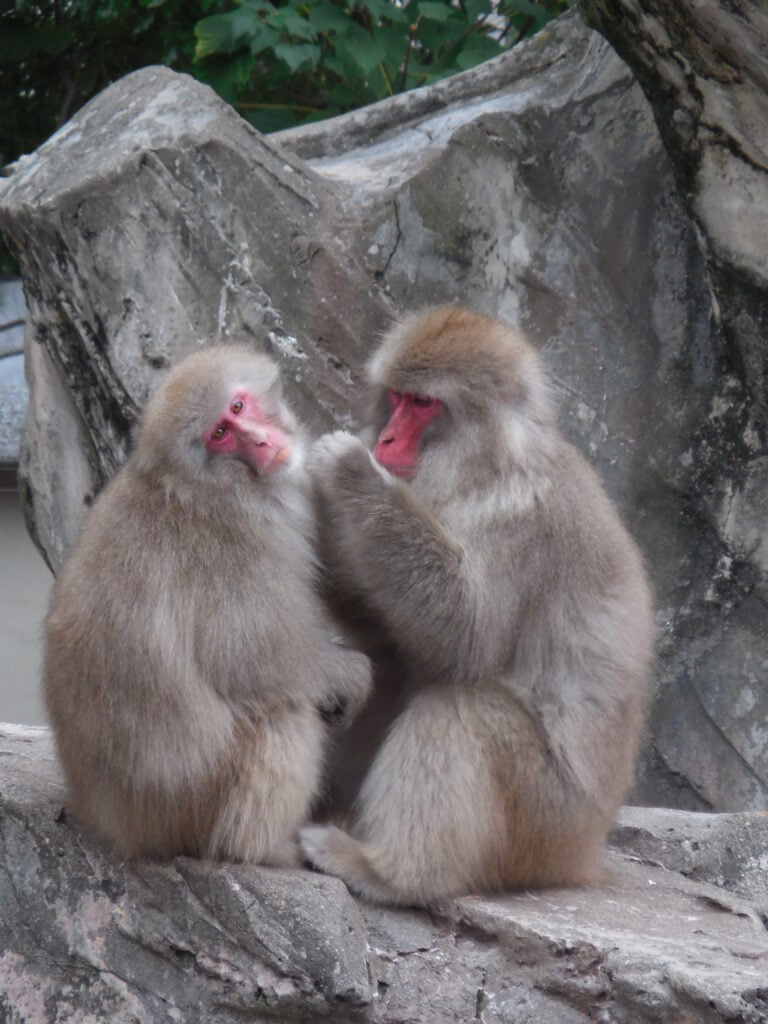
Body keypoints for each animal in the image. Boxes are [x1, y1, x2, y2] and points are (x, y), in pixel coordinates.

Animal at [41, 346, 372, 864]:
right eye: (220, 435)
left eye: (238, 407)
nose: (260, 440)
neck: (213, 489)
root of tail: (119, 826)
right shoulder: (234, 554)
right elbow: (252, 659)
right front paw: (353, 674)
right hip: (197, 803)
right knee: (284, 715)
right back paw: (264, 848)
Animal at [301, 303, 655, 905]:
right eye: (395, 397)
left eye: (423, 404)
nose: (386, 439)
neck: (486, 464)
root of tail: (585, 855)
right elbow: (397, 628)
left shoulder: (523, 516)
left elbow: (468, 632)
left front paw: (350, 471)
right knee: (394, 666)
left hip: (543, 823)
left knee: (462, 709)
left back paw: (389, 872)